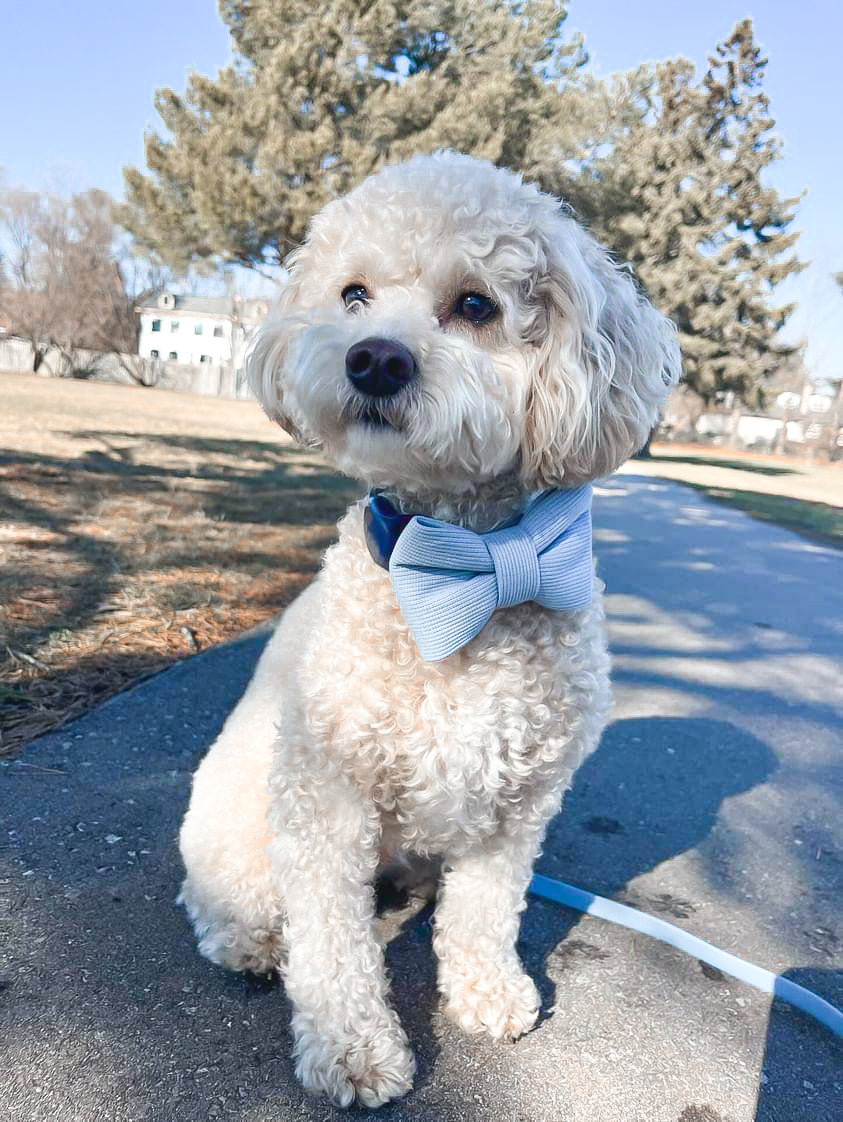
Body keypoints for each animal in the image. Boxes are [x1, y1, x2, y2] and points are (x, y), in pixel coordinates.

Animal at [176, 153, 677, 1108]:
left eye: (475, 304)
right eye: (353, 294)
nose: (374, 358)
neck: (463, 564)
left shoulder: (517, 806)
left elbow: (484, 913)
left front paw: (487, 993)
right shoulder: (326, 799)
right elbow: (332, 948)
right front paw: (353, 1049)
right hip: (242, 825)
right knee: (222, 903)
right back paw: (250, 943)